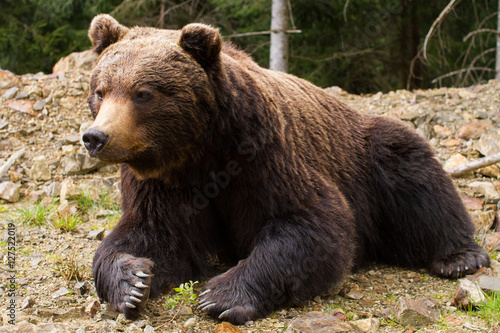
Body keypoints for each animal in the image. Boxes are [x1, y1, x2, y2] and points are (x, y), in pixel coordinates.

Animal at [85, 14, 488, 322]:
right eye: (101, 90)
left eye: (143, 93)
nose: (95, 137)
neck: (197, 149)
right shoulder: (160, 181)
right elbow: (151, 234)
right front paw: (132, 281)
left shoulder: (261, 154)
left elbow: (310, 223)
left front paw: (222, 295)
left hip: (367, 155)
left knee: (415, 177)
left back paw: (459, 257)